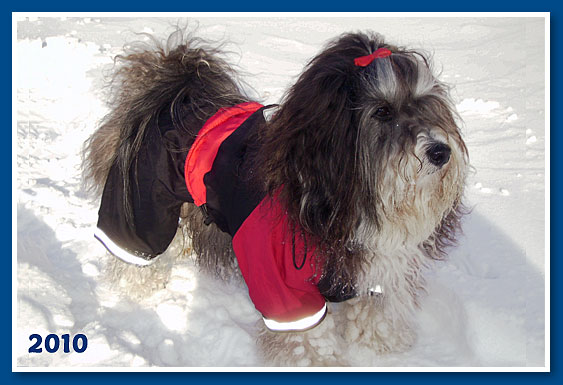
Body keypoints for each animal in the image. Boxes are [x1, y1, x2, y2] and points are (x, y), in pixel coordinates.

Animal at [83, 30, 470, 366]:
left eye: (425, 104)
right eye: (383, 112)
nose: (440, 152)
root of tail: (172, 87)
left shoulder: (374, 268)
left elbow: (376, 309)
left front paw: (384, 345)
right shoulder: (283, 283)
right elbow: (307, 337)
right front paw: (321, 364)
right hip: (139, 202)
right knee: (133, 250)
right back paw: (138, 290)